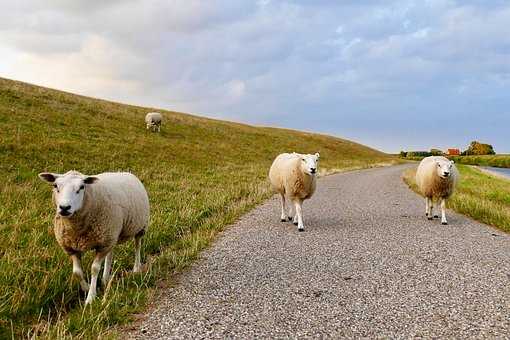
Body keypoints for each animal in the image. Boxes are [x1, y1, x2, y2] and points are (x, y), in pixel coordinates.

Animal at [37, 171, 149, 304]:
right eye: (55, 186)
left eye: (81, 187)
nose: (64, 207)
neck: (77, 230)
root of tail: (126, 172)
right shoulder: (72, 247)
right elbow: (77, 272)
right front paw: (86, 287)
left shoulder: (102, 244)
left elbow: (94, 269)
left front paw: (91, 297)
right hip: (111, 235)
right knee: (110, 254)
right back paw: (105, 278)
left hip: (139, 226)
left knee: (137, 245)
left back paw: (136, 268)